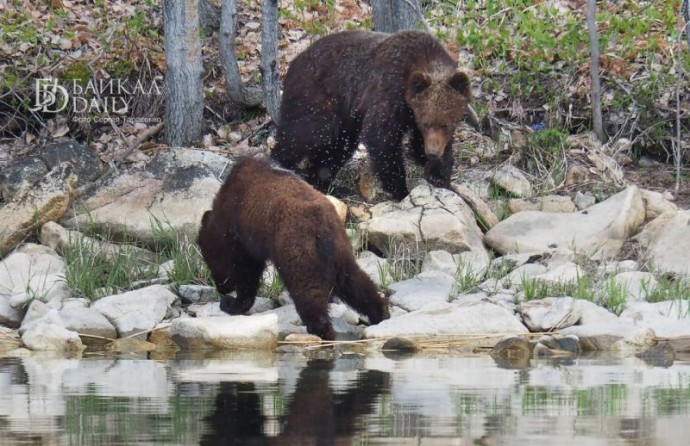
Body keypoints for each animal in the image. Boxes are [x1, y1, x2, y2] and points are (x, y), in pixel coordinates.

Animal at [196, 155, 390, 340]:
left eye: (208, 261)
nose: (221, 289)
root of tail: (322, 227)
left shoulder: (241, 232)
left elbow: (246, 271)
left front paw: (231, 304)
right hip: (340, 249)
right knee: (354, 281)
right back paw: (379, 313)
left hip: (296, 246)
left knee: (306, 289)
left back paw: (319, 330)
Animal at [272, 29, 470, 200]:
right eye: (426, 123)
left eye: (446, 124)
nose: (433, 152)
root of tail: (294, 62)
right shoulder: (389, 90)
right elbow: (381, 137)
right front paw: (401, 189)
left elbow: (419, 145)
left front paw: (439, 172)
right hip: (318, 98)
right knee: (305, 135)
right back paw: (283, 164)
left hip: (345, 119)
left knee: (338, 147)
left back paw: (326, 183)